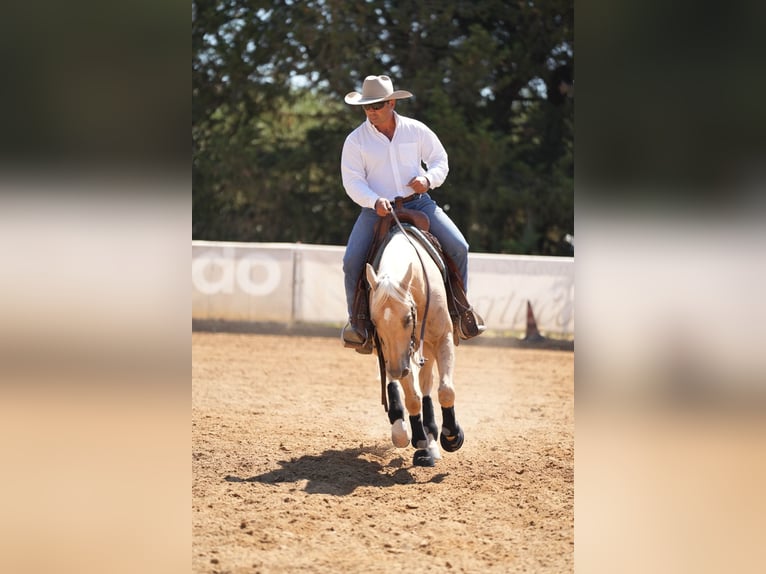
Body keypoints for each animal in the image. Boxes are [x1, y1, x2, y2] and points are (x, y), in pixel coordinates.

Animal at [365, 223, 465, 467]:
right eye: (374, 321)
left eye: (408, 318)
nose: (396, 369)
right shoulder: (398, 354)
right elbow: (412, 398)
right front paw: (418, 440)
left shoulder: (443, 338)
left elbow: (445, 391)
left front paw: (452, 436)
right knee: (401, 382)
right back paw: (409, 434)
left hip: (425, 348)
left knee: (427, 383)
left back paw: (432, 441)